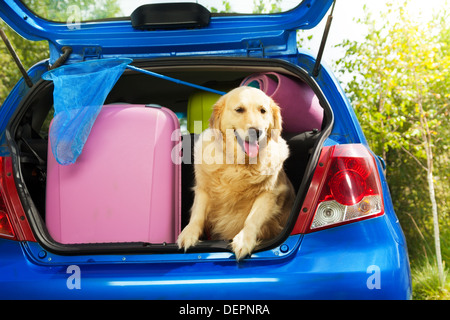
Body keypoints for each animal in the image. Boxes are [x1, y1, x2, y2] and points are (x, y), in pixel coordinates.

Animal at [176, 85, 296, 260]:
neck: (238, 164)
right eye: (239, 110)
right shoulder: (203, 189)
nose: (256, 131)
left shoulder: (270, 193)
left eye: (263, 110)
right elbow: (197, 214)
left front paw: (244, 240)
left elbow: (252, 218)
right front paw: (188, 234)